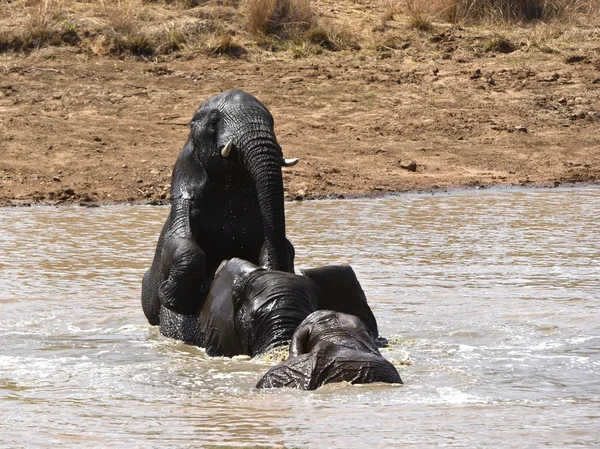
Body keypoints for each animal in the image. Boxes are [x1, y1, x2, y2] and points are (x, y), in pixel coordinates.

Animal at [143, 89, 298, 324]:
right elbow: (179, 242)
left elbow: (278, 245)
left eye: (272, 122)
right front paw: (172, 298)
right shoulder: (186, 196)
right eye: (214, 121)